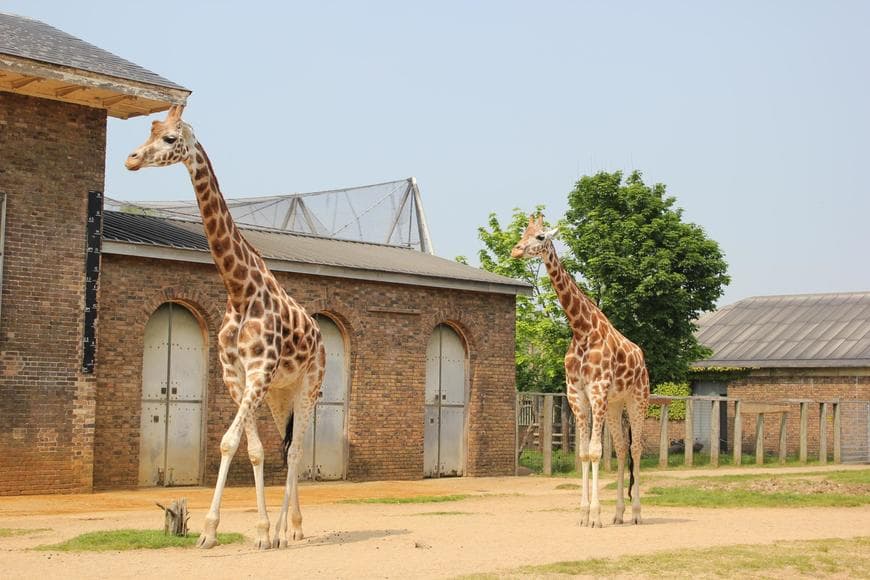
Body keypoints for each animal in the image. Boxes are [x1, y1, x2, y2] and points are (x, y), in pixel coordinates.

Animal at [124, 105, 326, 548]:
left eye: (169, 138)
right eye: (150, 129)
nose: (131, 159)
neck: (239, 290)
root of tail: (320, 337)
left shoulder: (259, 372)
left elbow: (231, 441)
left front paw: (240, 531)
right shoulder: (235, 376)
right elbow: (250, 449)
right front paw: (243, 532)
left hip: (309, 386)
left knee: (297, 451)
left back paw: (290, 530)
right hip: (280, 395)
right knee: (285, 446)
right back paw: (291, 528)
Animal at [516, 215, 652, 528]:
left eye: (540, 236)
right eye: (523, 233)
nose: (515, 250)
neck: (581, 330)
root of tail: (641, 358)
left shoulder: (597, 391)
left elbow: (595, 451)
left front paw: (595, 516)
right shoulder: (576, 395)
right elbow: (583, 453)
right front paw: (584, 514)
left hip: (638, 399)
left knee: (636, 449)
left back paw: (637, 513)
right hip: (615, 405)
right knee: (622, 447)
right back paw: (619, 514)